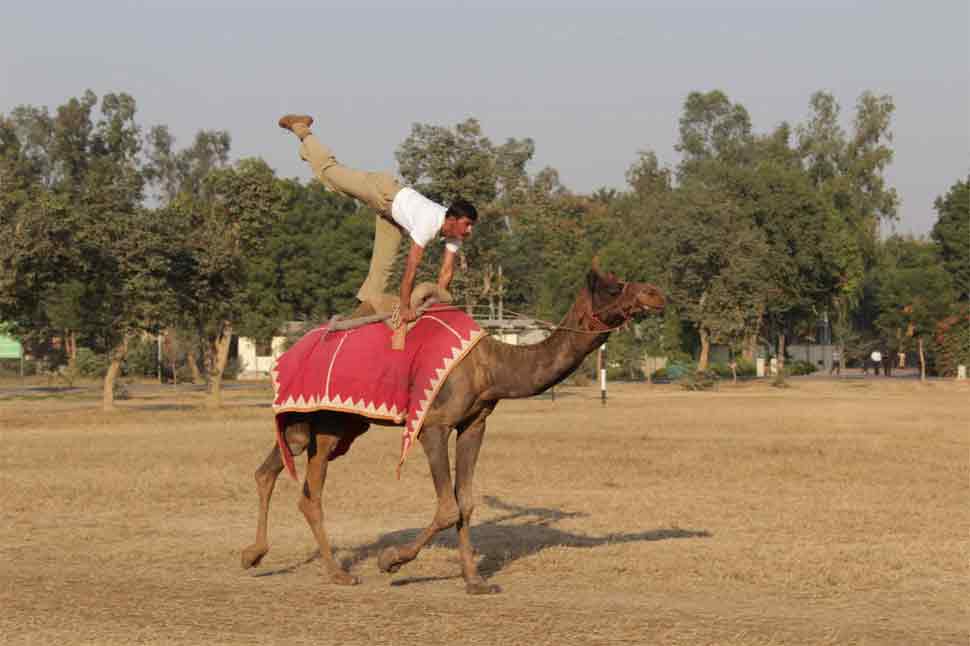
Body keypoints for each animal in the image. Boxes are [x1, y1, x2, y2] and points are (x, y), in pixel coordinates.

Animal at [242, 260, 664, 596]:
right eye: (613, 287)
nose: (655, 293)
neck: (492, 366)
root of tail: (294, 348)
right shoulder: (434, 423)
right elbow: (447, 507)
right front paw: (391, 561)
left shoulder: (474, 424)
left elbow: (466, 503)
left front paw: (476, 582)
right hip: (308, 415)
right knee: (282, 465)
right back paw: (267, 558)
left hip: (342, 424)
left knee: (300, 486)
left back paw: (316, 569)